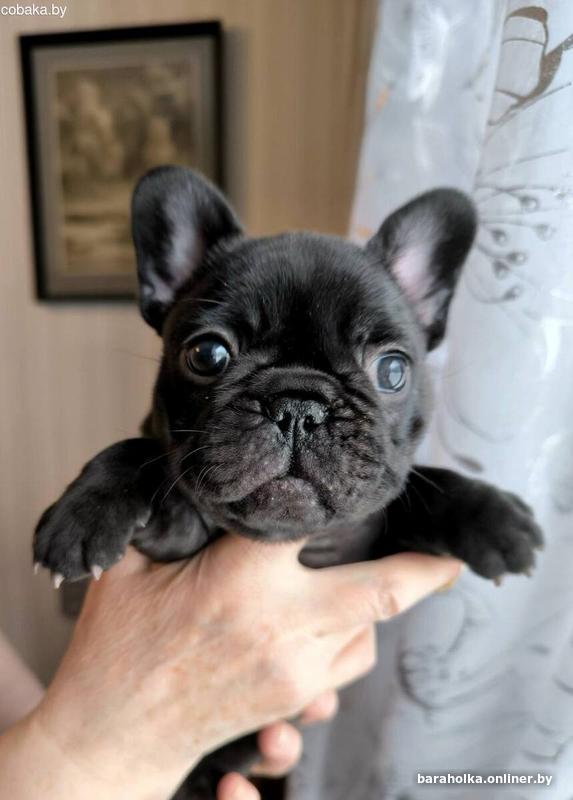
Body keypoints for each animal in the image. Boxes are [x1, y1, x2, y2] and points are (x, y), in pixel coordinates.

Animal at [34, 167, 543, 798]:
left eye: (392, 369)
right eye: (208, 354)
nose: (299, 406)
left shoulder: (372, 535)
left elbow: (420, 486)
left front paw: (491, 515)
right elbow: (144, 456)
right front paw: (85, 513)